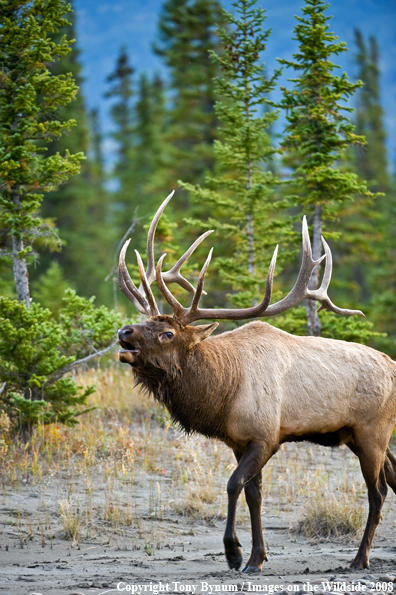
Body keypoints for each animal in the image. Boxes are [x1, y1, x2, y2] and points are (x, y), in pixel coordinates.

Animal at [117, 193, 396, 576]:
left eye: (168, 333)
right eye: (145, 321)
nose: (123, 332)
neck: (223, 394)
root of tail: (394, 367)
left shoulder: (266, 437)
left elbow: (234, 484)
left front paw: (234, 553)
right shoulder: (240, 441)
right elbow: (254, 495)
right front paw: (256, 558)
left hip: (372, 431)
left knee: (378, 491)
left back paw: (359, 558)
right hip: (364, 436)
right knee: (393, 478)